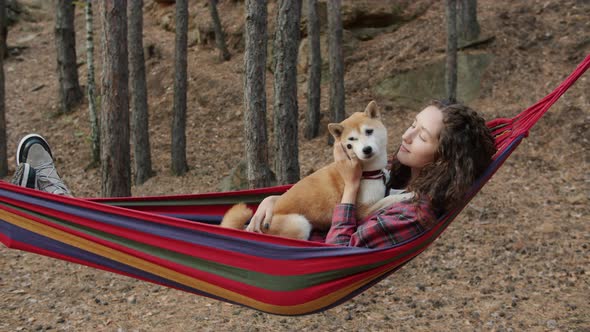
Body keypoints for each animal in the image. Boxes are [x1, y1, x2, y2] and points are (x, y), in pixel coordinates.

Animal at [220, 100, 390, 239]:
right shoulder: (362, 211)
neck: (368, 173)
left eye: (369, 131)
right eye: (351, 141)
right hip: (300, 223)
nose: (366, 150)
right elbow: (389, 200)